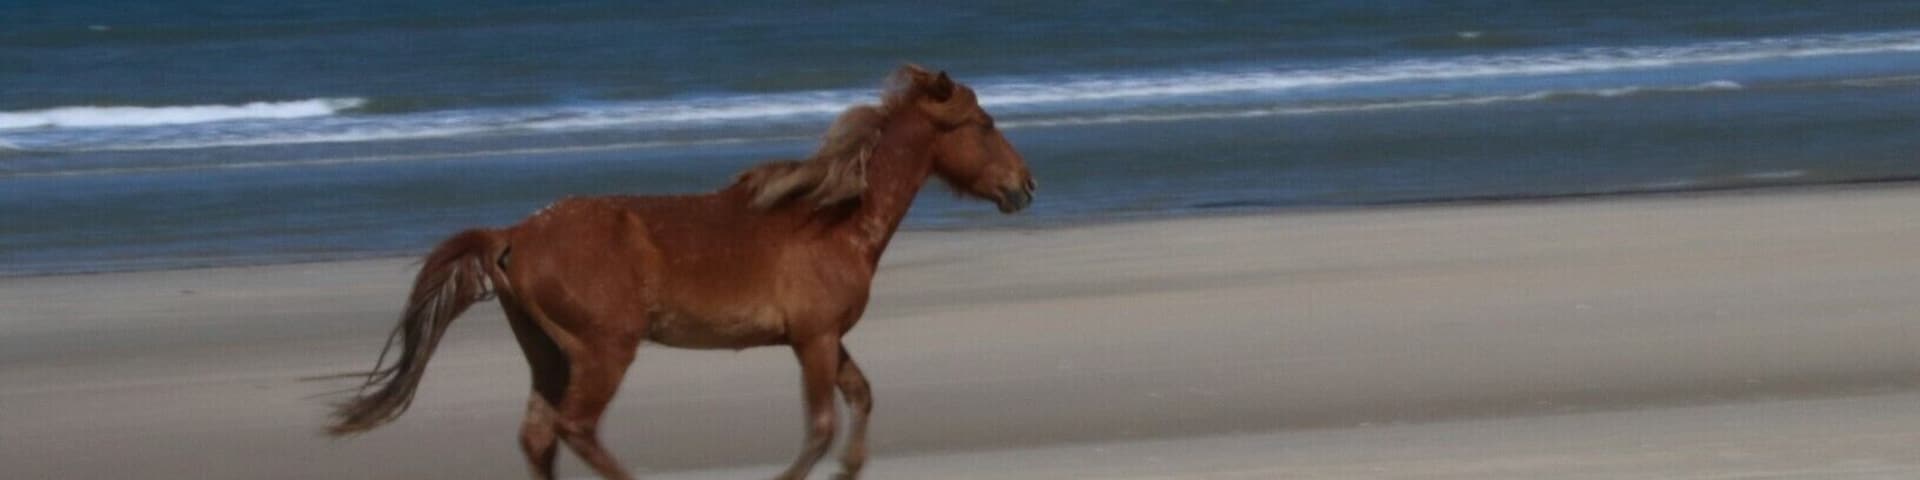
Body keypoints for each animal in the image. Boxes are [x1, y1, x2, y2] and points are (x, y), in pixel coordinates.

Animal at [324, 65, 1036, 480]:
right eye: (984, 123)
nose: (1025, 186)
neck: (834, 219)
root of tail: (515, 234)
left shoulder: (826, 338)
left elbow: (858, 400)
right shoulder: (813, 340)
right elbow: (820, 427)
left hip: (549, 354)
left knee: (538, 436)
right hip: (604, 350)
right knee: (575, 429)